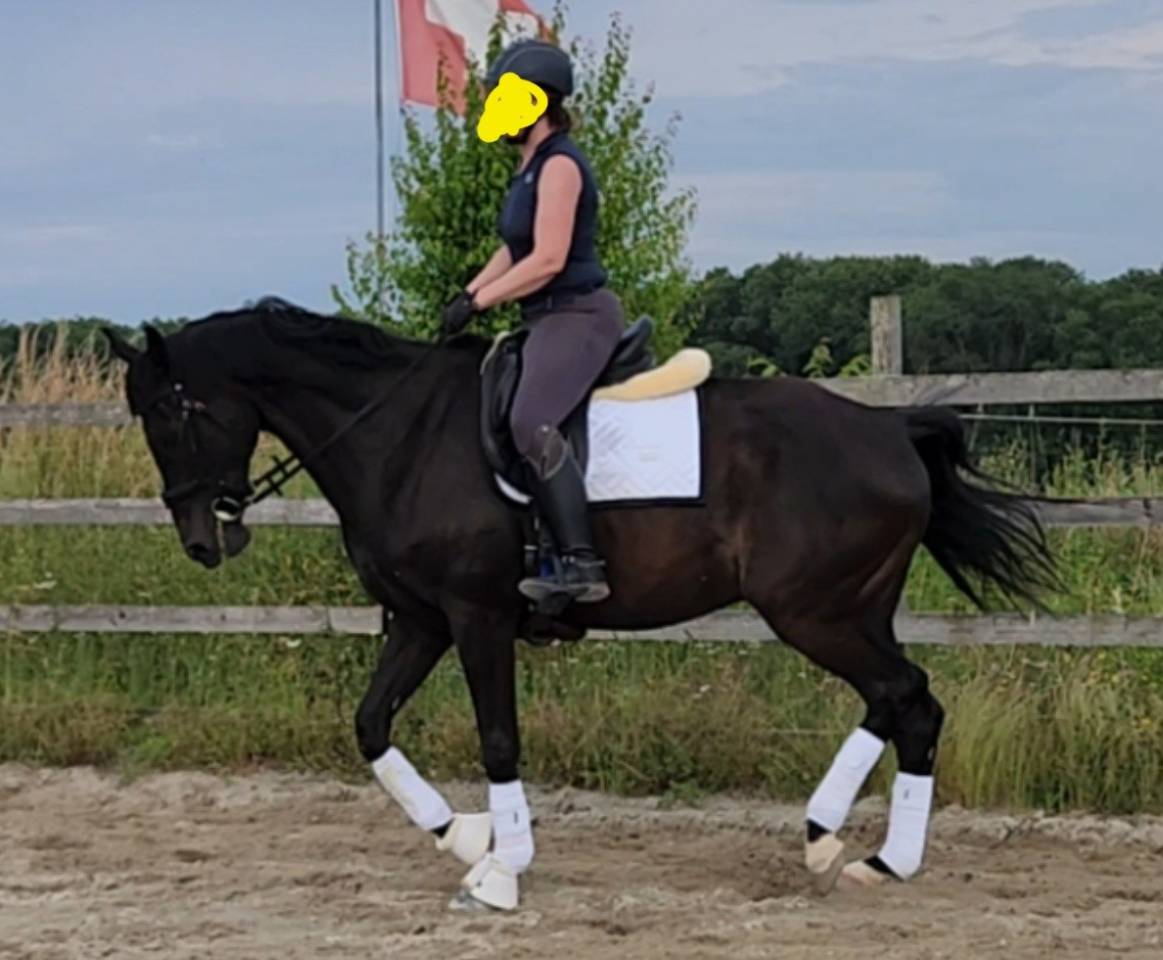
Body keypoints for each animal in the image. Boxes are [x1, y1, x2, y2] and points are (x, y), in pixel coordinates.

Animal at [102, 297, 1060, 911]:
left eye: (173, 412)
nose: (202, 538)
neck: (397, 433)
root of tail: (889, 428)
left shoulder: (477, 618)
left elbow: (497, 739)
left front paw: (500, 873)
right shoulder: (420, 621)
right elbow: (370, 724)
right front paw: (463, 838)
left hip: (813, 611)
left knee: (909, 700)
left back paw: (877, 862)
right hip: (849, 611)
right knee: (897, 700)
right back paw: (830, 841)